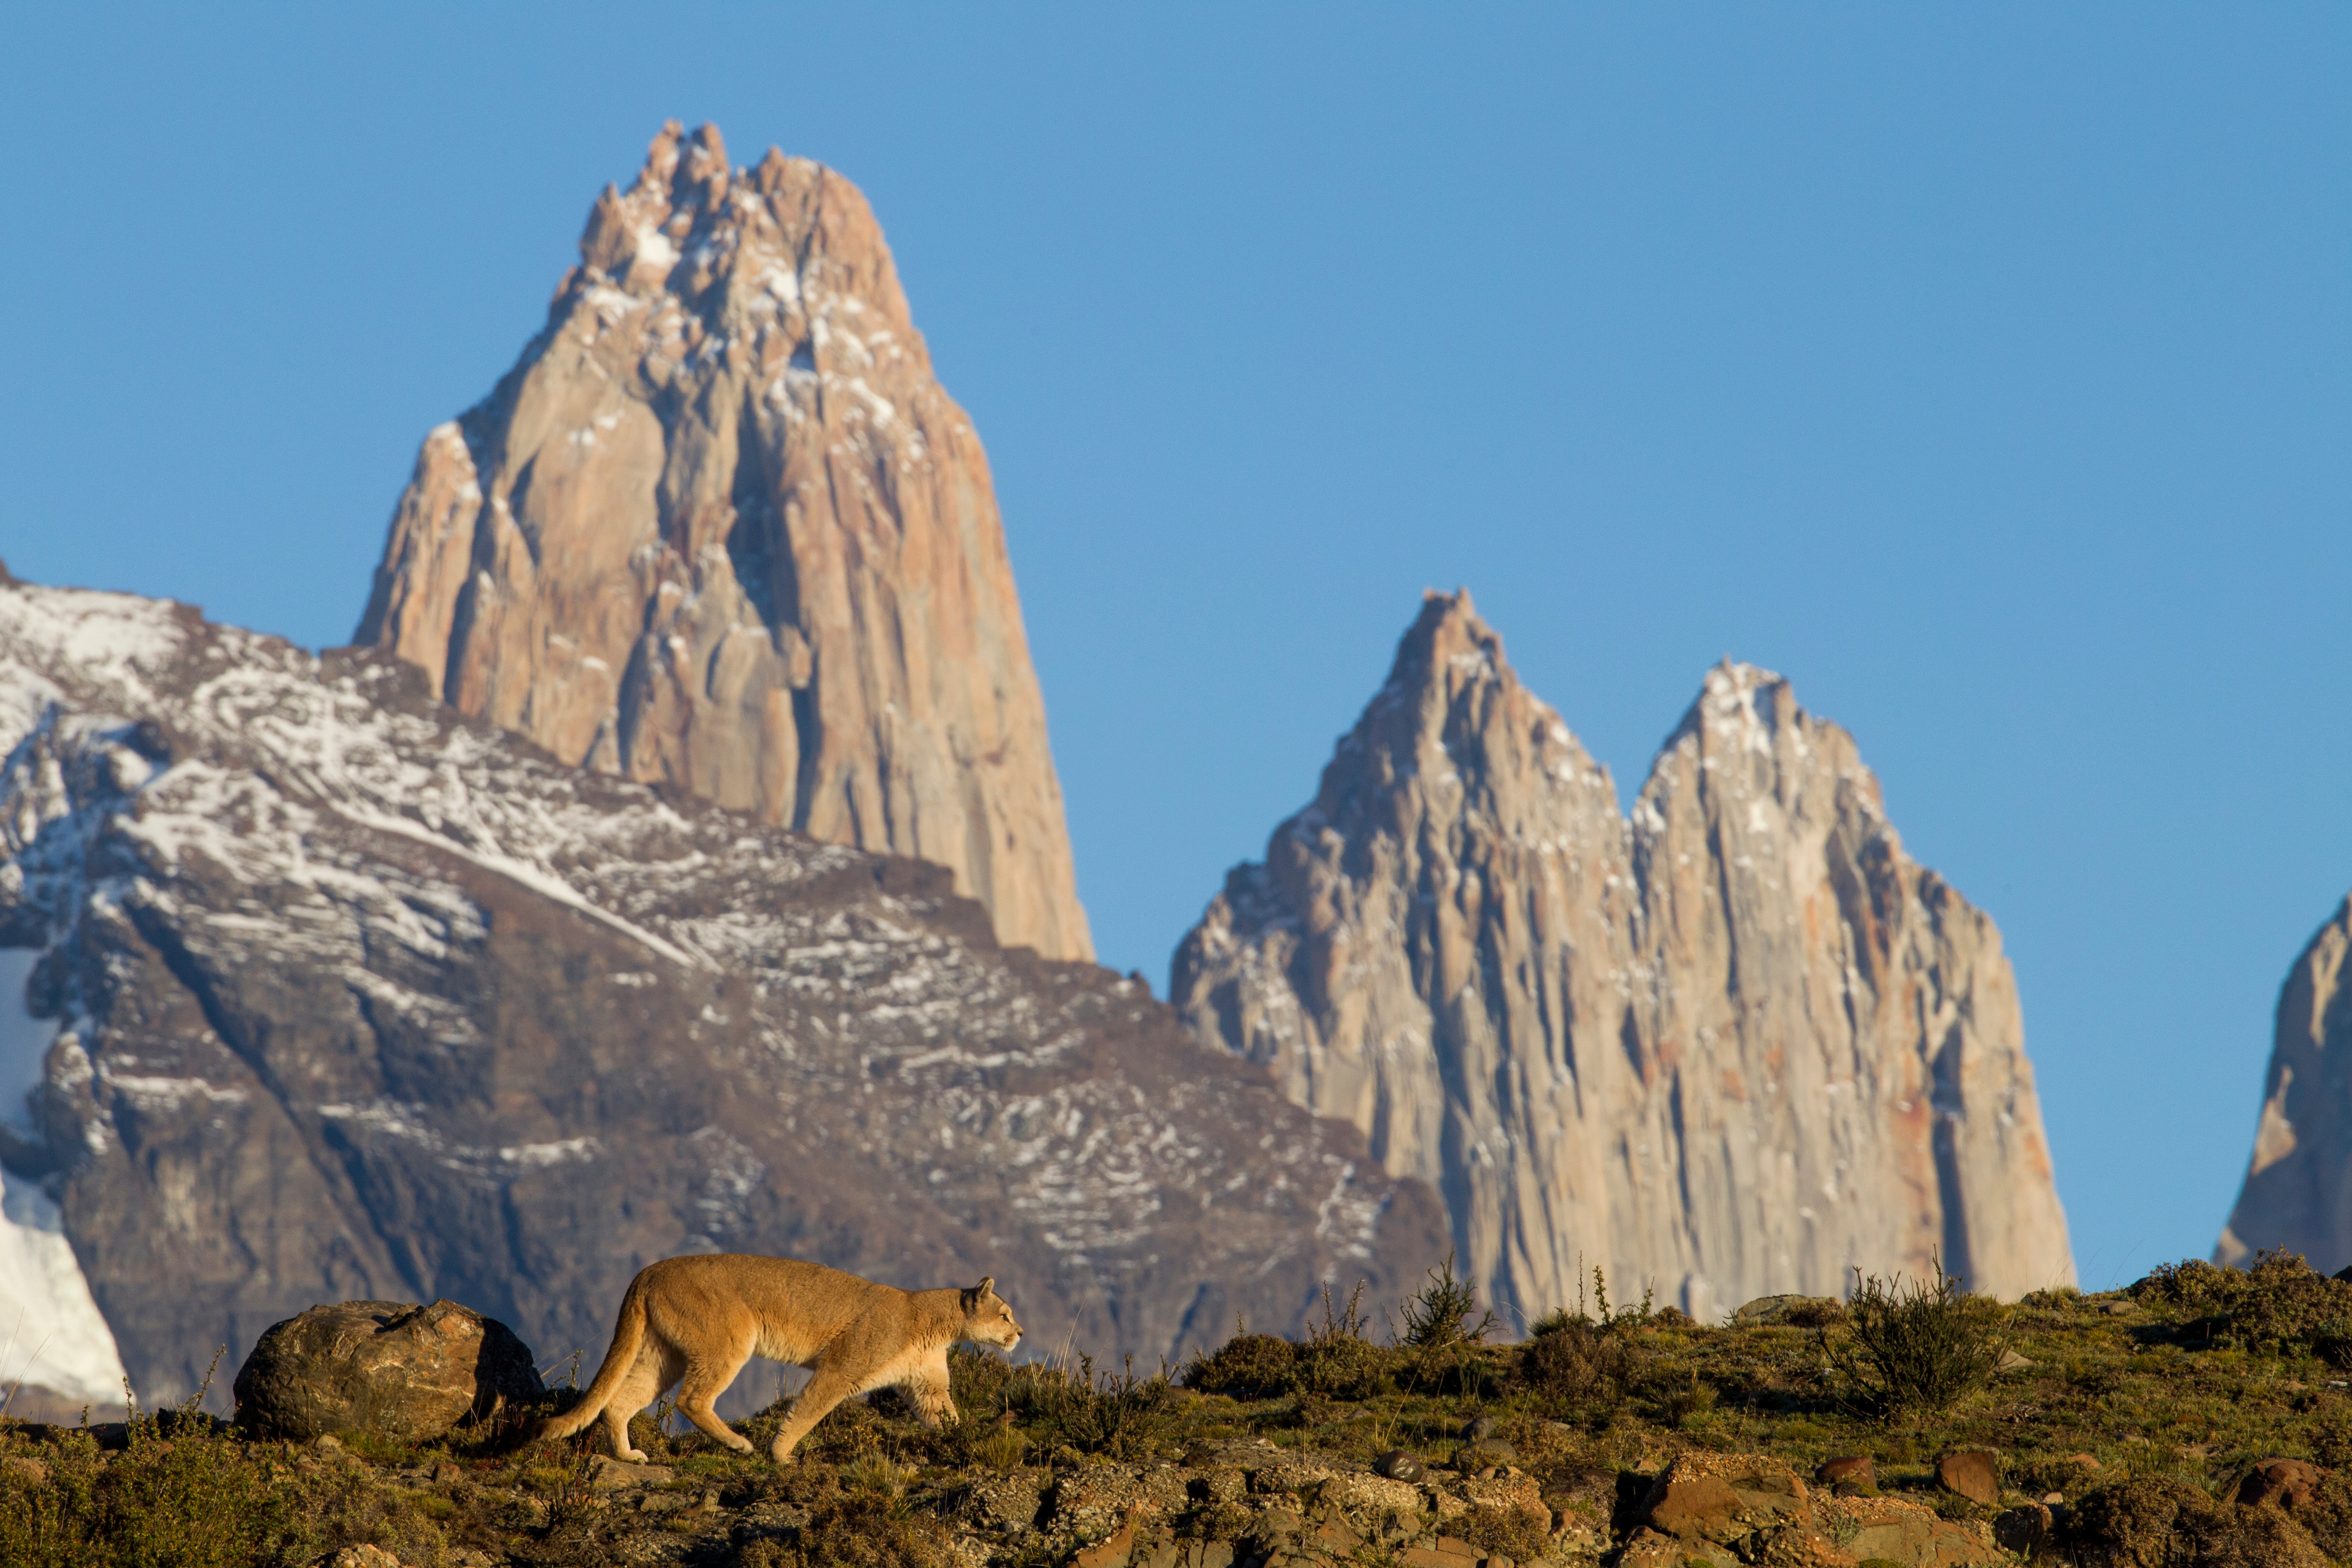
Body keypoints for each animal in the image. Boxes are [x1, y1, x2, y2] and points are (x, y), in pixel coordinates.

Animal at [541, 1260, 1021, 1467]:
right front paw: (782, 1454)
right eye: (1005, 1314)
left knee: (620, 1402)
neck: (935, 1323)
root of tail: (649, 1271)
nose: (1020, 1333)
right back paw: (740, 1445)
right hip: (729, 1341)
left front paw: (964, 1440)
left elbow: (946, 1415)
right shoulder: (843, 1369)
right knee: (691, 1400)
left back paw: (628, 1455)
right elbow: (809, 1410)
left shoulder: (927, 1384)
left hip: (666, 1354)